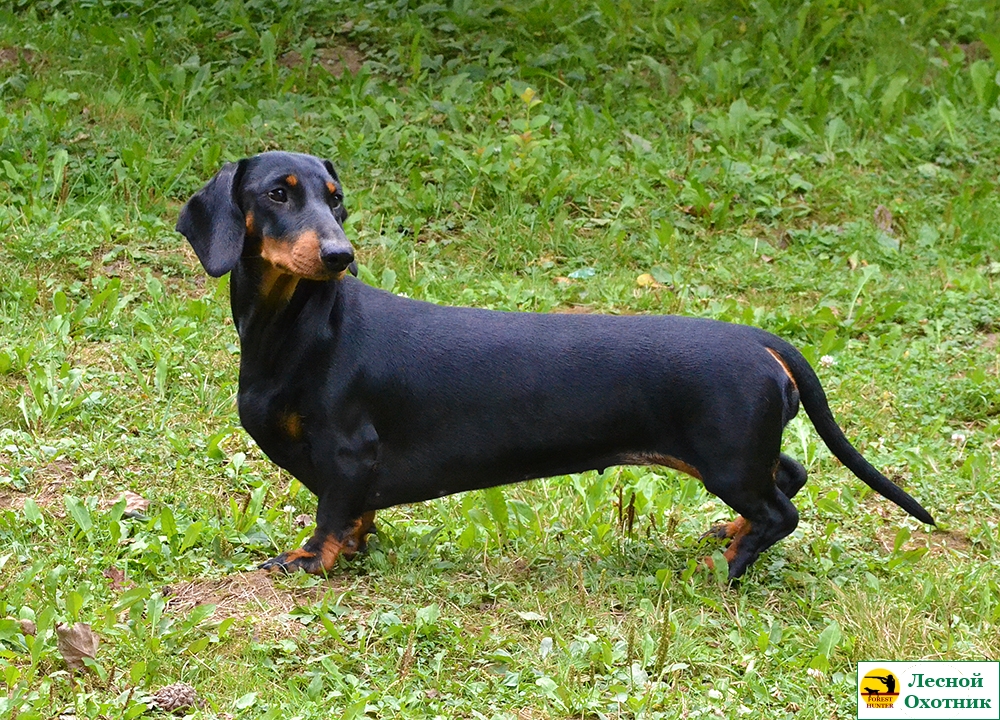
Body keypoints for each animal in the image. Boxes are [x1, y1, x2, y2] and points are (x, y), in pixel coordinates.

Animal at [176, 151, 935, 579]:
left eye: (335, 198)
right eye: (278, 194)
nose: (341, 255)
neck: (301, 328)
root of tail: (755, 338)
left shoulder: (348, 451)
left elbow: (333, 515)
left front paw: (309, 561)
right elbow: (355, 517)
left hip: (725, 460)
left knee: (782, 509)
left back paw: (728, 563)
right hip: (736, 453)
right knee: (791, 475)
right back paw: (730, 535)